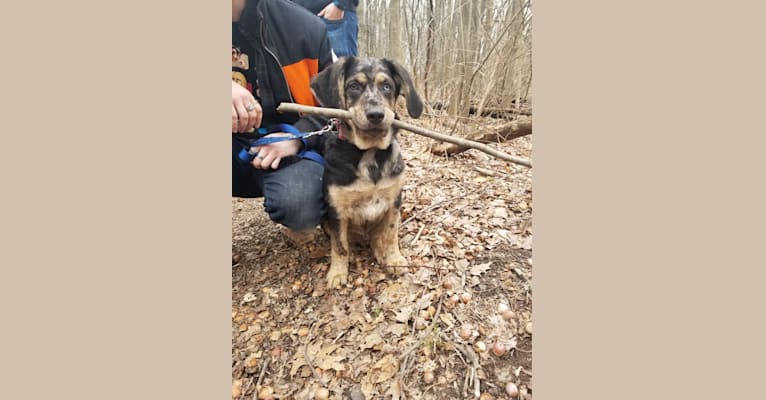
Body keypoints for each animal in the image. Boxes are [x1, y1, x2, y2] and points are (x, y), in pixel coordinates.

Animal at [308, 57, 424, 288]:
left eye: (387, 86)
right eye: (353, 86)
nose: (376, 115)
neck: (370, 153)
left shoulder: (394, 202)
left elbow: (390, 234)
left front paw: (393, 258)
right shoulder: (337, 210)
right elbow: (340, 246)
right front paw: (337, 273)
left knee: (377, 238)